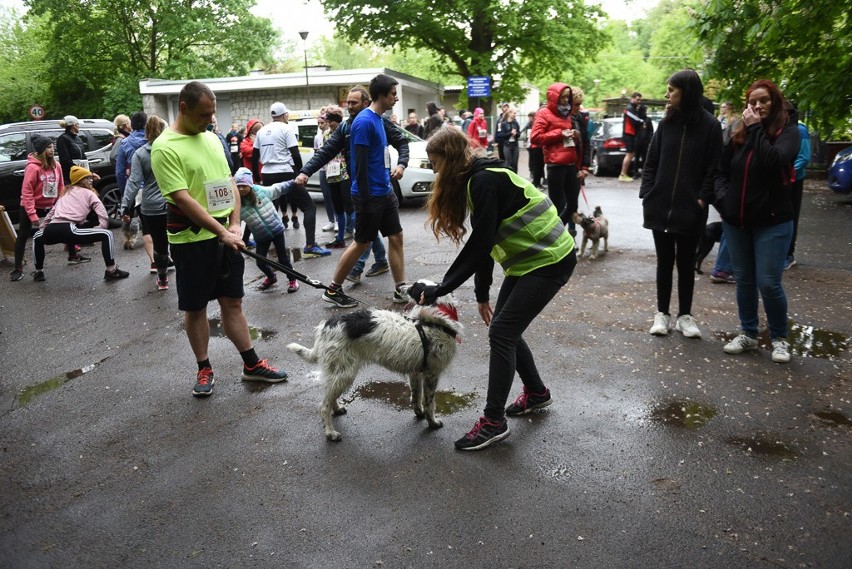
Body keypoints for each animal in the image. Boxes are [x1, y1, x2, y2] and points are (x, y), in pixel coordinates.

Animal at [288, 282, 462, 442]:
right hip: (345, 373)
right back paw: (330, 433)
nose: (399, 288)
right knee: (323, 406)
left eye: (413, 288)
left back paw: (336, 409)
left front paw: (419, 413)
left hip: (338, 373)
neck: (435, 322)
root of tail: (326, 326)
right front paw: (432, 422)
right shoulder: (431, 374)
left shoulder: (416, 373)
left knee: (329, 397)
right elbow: (429, 403)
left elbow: (416, 396)